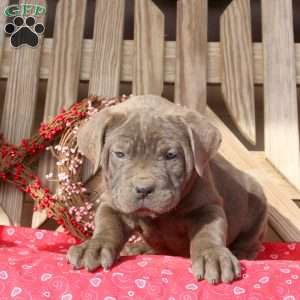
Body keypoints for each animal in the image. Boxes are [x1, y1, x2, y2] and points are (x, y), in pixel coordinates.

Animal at [67, 95, 268, 284]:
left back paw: (242, 252)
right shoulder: (114, 205)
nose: (144, 189)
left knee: (250, 238)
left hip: (257, 203)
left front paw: (213, 257)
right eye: (120, 154)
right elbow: (107, 227)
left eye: (170, 155)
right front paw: (94, 247)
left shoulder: (208, 206)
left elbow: (208, 233)